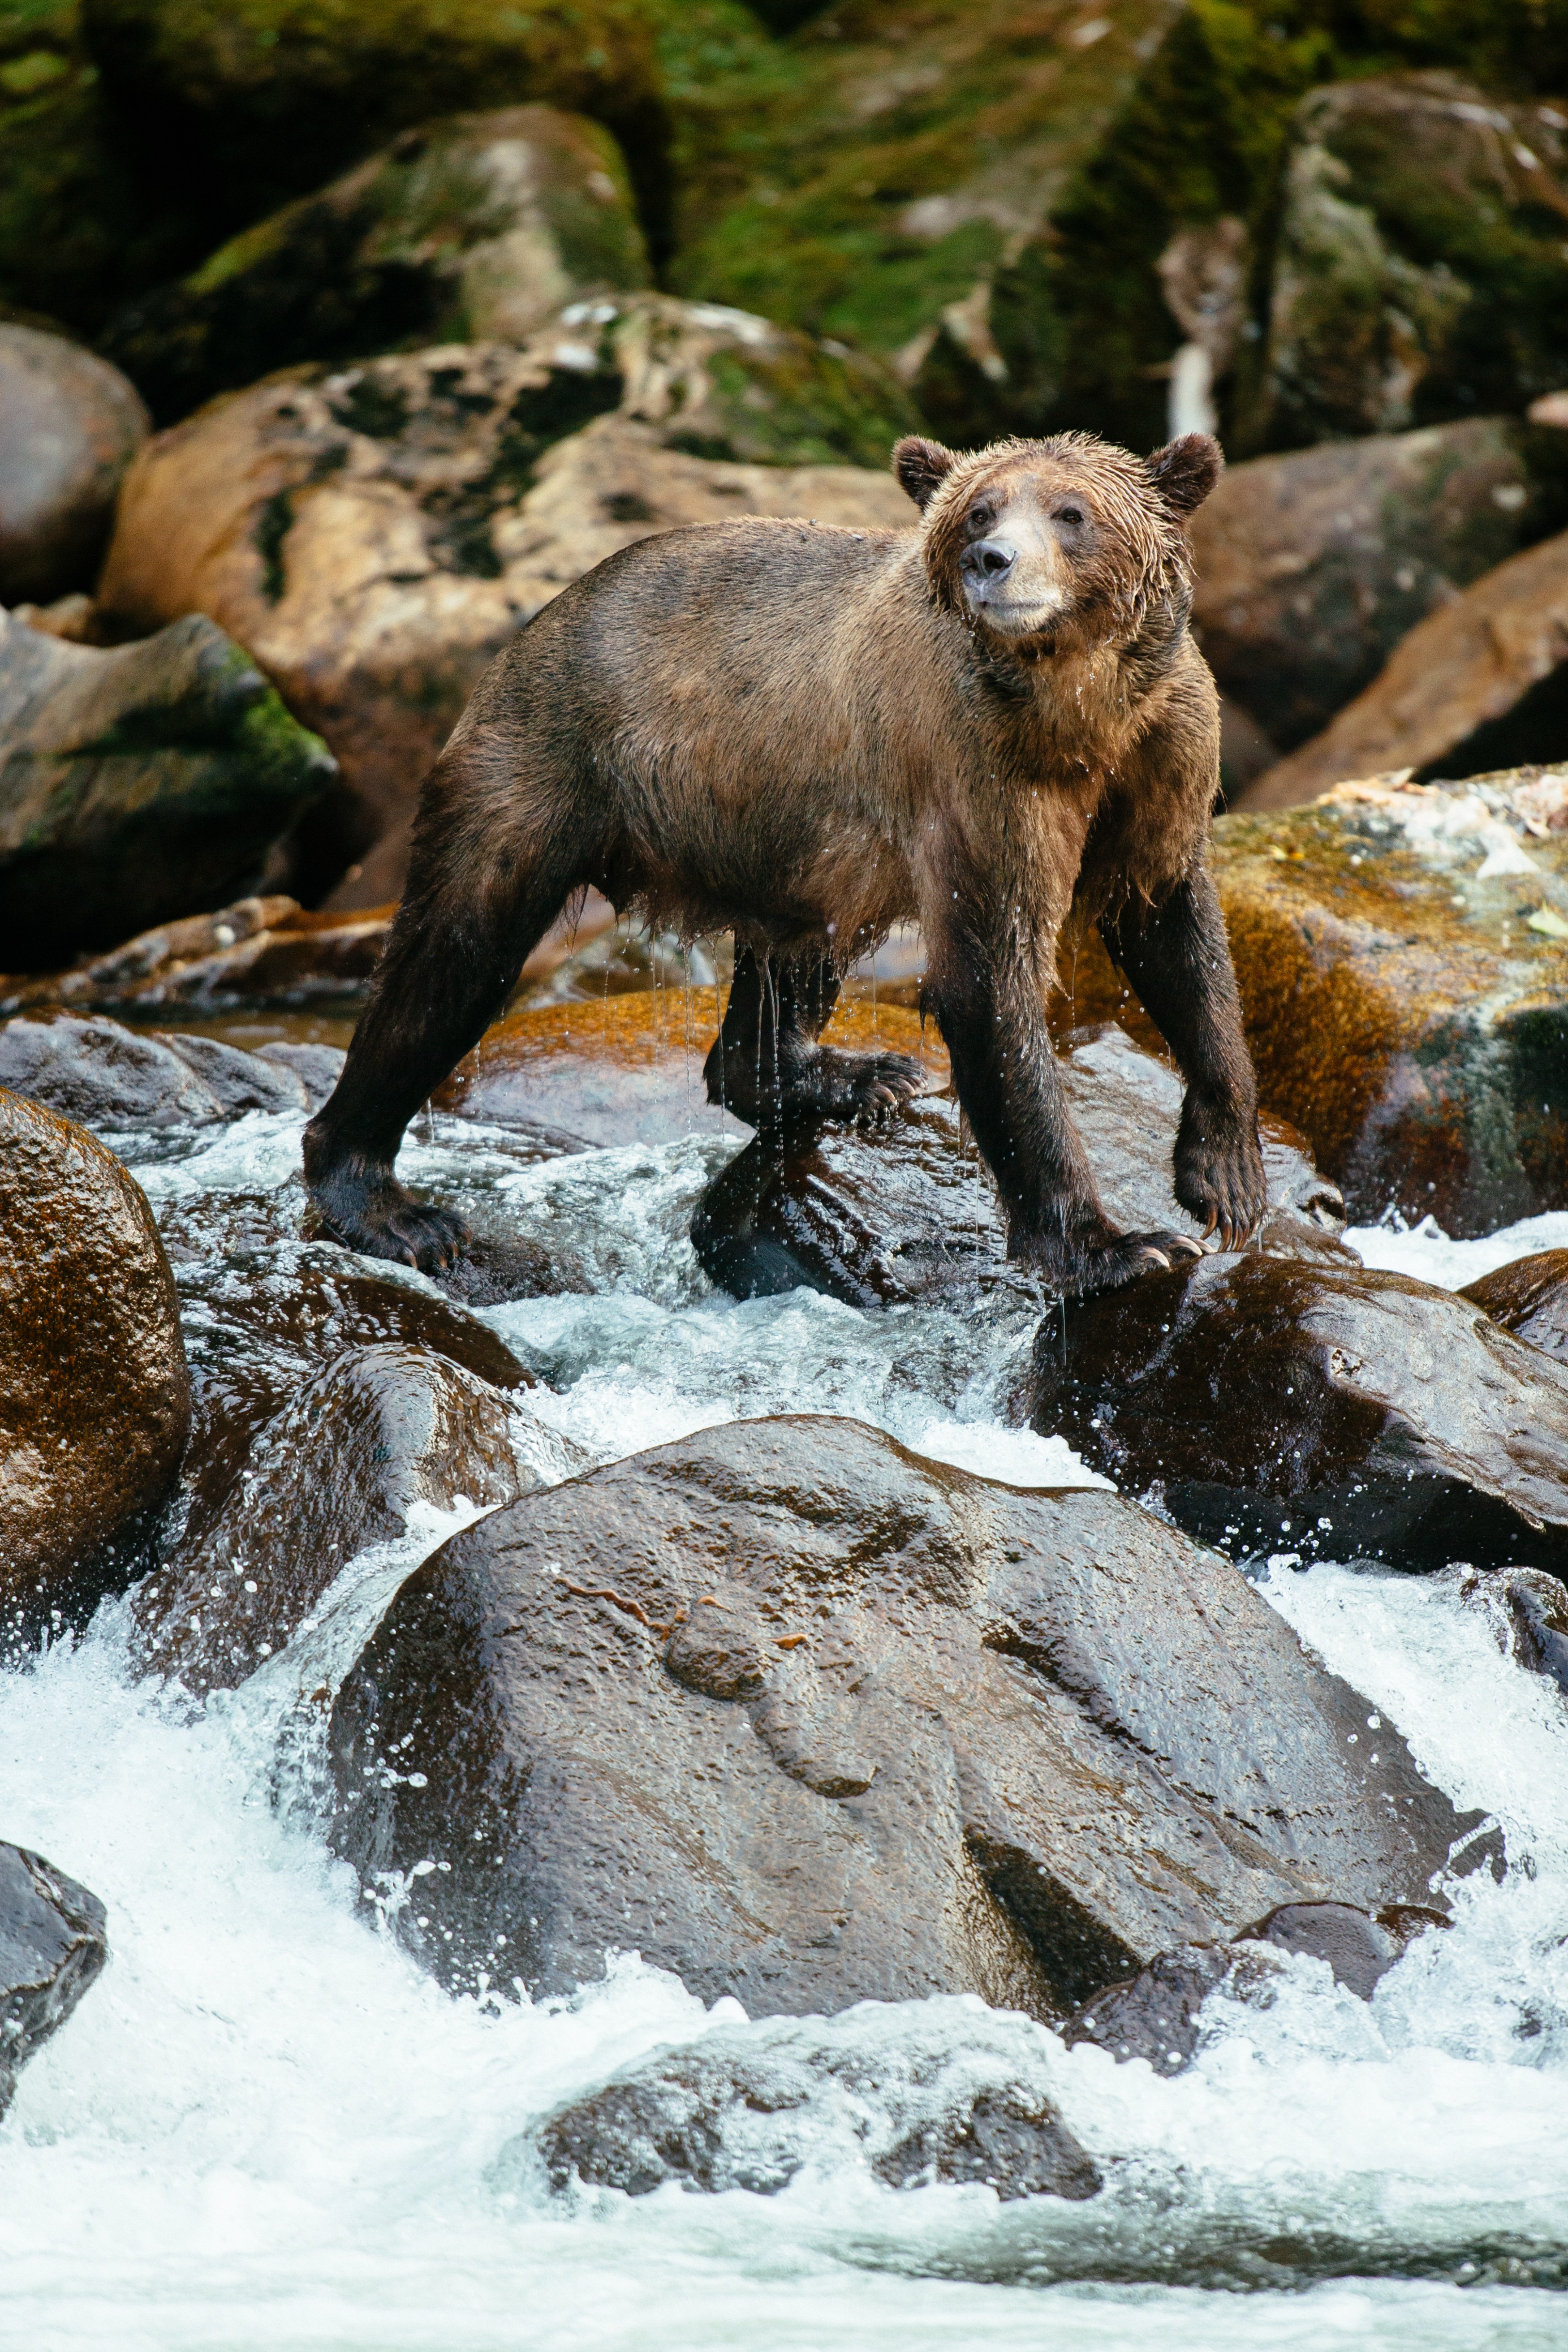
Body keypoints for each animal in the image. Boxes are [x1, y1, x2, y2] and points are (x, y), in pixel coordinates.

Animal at [302, 427, 1267, 1296]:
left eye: (1071, 513)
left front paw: (1226, 1179)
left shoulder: (1162, 753)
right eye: (979, 510)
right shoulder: (980, 778)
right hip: (546, 770)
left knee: (791, 960)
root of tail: (543, 618)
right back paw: (387, 1203)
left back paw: (854, 1074)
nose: (991, 561)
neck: (1076, 714)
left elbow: (1175, 930)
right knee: (453, 959)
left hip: (796, 843)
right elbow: (993, 984)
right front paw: (1119, 1245)